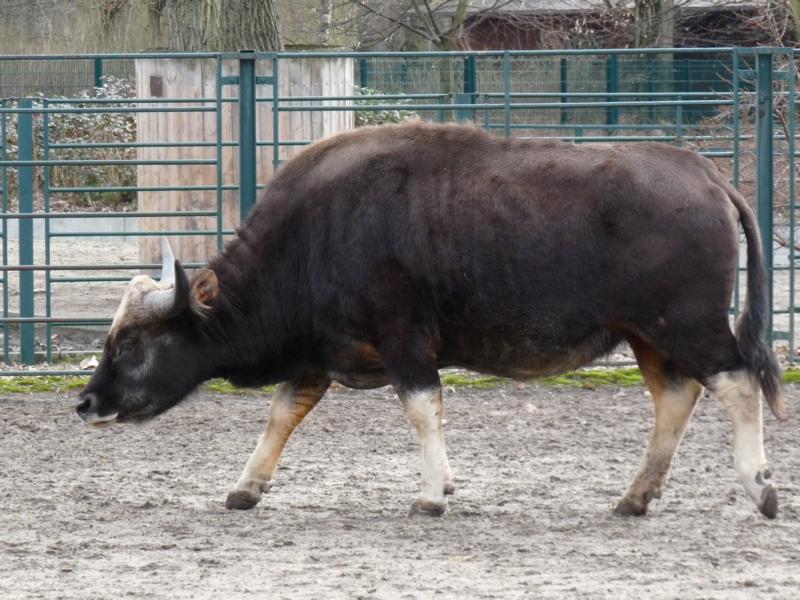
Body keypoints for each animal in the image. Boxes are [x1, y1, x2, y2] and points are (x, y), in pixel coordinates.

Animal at [76, 121, 787, 519]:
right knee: (676, 397)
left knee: (738, 383)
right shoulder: (319, 355)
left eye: (132, 344)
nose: (86, 402)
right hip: (648, 335)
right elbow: (281, 415)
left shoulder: (404, 341)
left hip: (687, 325)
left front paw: (432, 493)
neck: (312, 238)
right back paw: (635, 497)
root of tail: (705, 174)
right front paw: (246, 488)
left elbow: (422, 408)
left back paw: (760, 487)